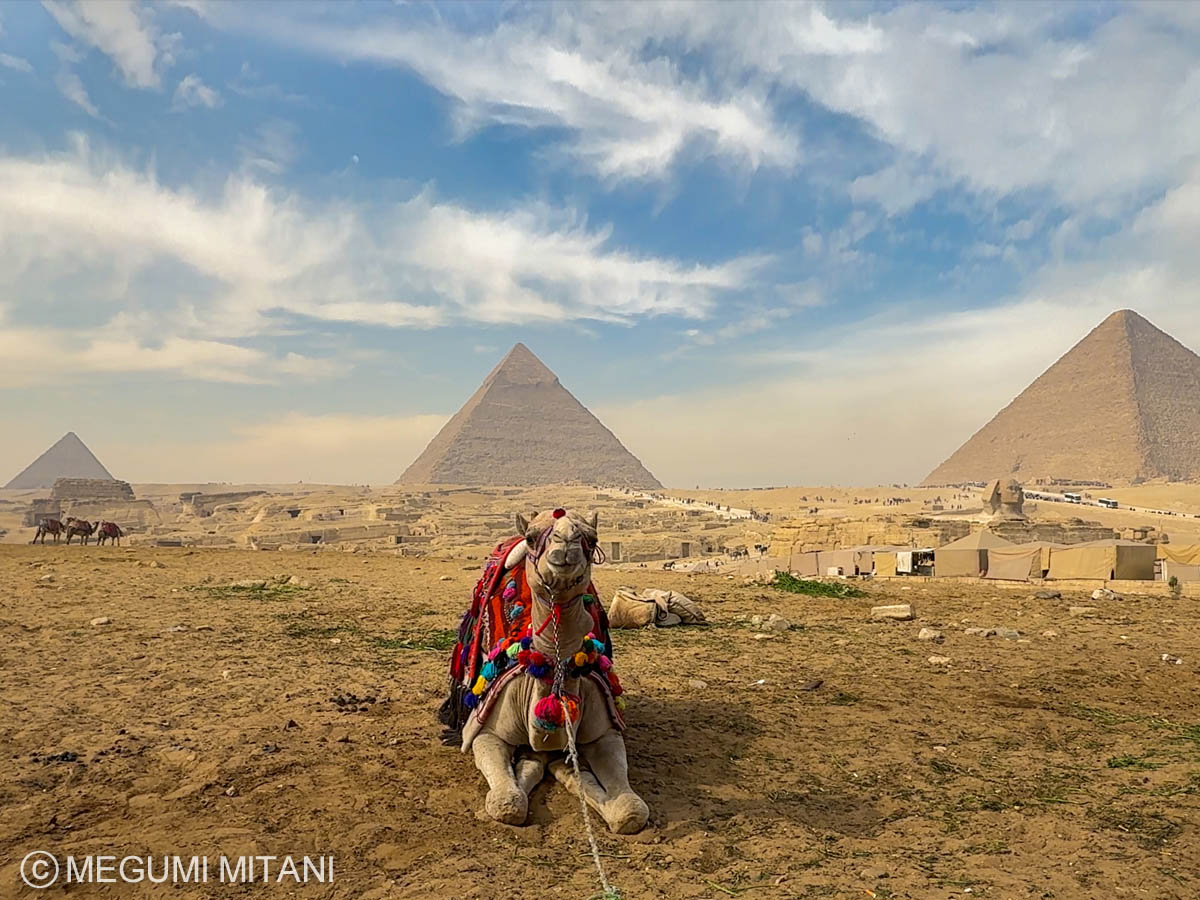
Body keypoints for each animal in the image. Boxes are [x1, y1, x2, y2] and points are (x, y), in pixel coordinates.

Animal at [448, 508, 648, 834]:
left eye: (592, 538)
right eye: (532, 538)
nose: (565, 540)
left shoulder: (605, 731)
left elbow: (631, 811)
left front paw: (570, 772)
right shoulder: (484, 731)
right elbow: (508, 803)